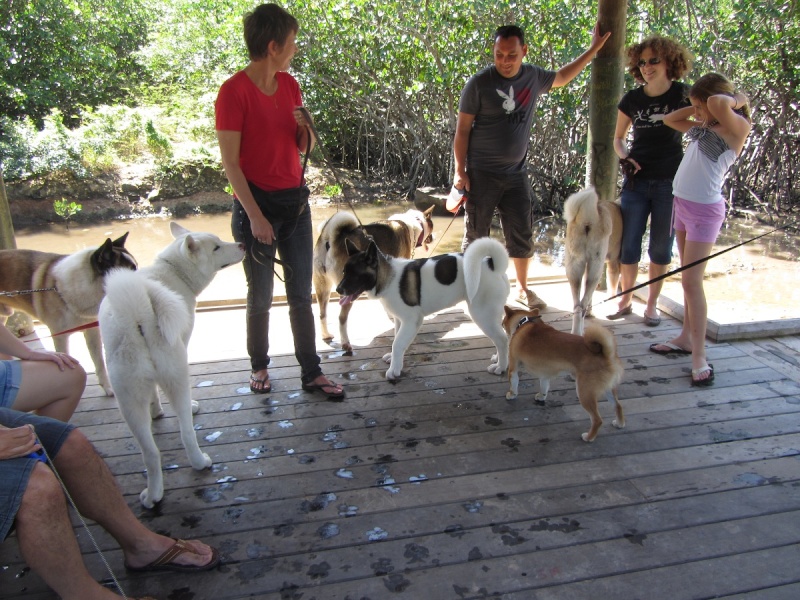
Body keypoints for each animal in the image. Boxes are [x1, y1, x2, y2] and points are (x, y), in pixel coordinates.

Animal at [0, 233, 137, 394]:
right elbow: (66, 355)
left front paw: (108, 387)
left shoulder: (92, 332)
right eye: (128, 272)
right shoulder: (60, 336)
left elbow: (99, 362)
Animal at [99, 223, 244, 508]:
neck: (173, 271)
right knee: (186, 432)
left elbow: (154, 393)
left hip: (128, 397)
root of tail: (140, 315)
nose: (243, 244)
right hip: (176, 373)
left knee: (151, 453)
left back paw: (153, 494)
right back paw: (200, 461)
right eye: (217, 247)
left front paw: (155, 410)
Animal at [310, 209, 434, 354]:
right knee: (341, 318)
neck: (411, 222)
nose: (433, 238)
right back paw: (346, 344)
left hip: (322, 286)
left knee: (322, 314)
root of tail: (330, 239)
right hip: (349, 289)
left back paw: (326, 335)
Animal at [500, 304, 624, 440]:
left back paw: (588, 437)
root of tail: (606, 355)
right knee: (618, 406)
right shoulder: (545, 374)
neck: (525, 322)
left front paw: (512, 395)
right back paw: (619, 423)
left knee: (597, 420)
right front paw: (541, 397)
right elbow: (544, 387)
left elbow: (514, 383)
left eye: (503, 321)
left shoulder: (513, 366)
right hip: (608, 389)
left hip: (585, 392)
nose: (501, 323)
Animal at [564, 188, 624, 336]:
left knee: (577, 306)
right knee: (582, 304)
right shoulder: (614, 263)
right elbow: (612, 288)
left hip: (574, 268)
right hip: (596, 269)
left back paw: (576, 333)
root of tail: (588, 219)